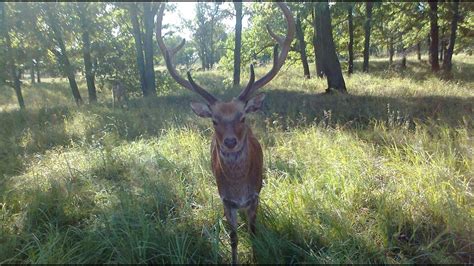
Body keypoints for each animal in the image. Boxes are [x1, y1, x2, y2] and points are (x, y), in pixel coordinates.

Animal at [156, 3, 294, 264]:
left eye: (243, 117)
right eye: (214, 121)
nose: (230, 142)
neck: (239, 189)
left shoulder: (254, 196)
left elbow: (253, 231)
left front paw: (257, 254)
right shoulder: (225, 200)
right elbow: (233, 238)